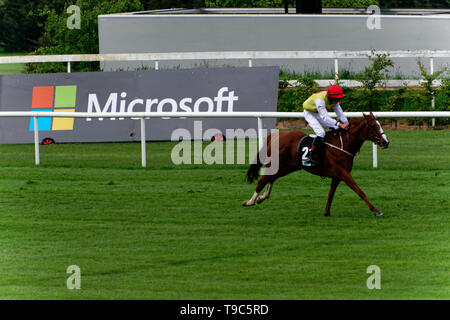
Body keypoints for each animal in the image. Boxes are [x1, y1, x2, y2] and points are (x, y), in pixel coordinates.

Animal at [244, 112, 388, 218]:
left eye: (379, 125)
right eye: (373, 126)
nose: (386, 142)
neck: (343, 144)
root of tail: (275, 135)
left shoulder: (337, 176)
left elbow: (331, 194)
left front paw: (326, 212)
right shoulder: (343, 173)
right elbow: (359, 190)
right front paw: (376, 210)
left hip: (288, 167)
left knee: (272, 178)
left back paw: (262, 197)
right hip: (279, 164)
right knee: (263, 180)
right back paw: (250, 201)